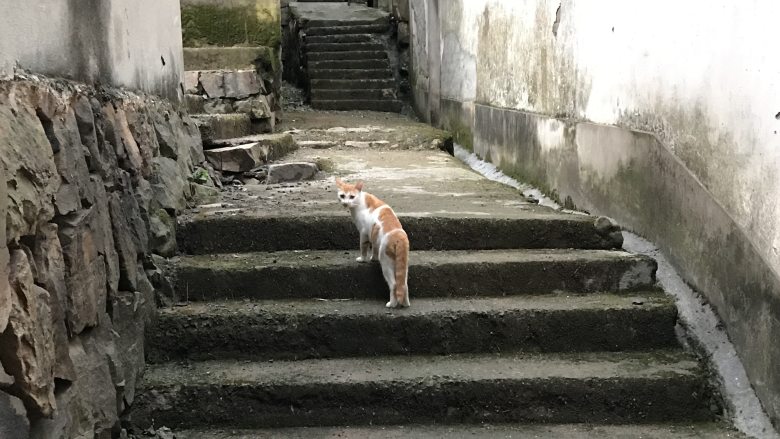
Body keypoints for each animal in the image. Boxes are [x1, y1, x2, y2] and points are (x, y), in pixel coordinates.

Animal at [334, 177, 412, 308]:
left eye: (352, 197)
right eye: (342, 195)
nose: (345, 203)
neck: (360, 202)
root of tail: (398, 235)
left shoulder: (363, 233)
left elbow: (363, 248)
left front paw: (362, 259)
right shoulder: (374, 237)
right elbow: (374, 248)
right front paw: (373, 258)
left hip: (386, 261)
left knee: (394, 285)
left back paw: (391, 304)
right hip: (402, 263)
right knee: (404, 285)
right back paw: (405, 304)